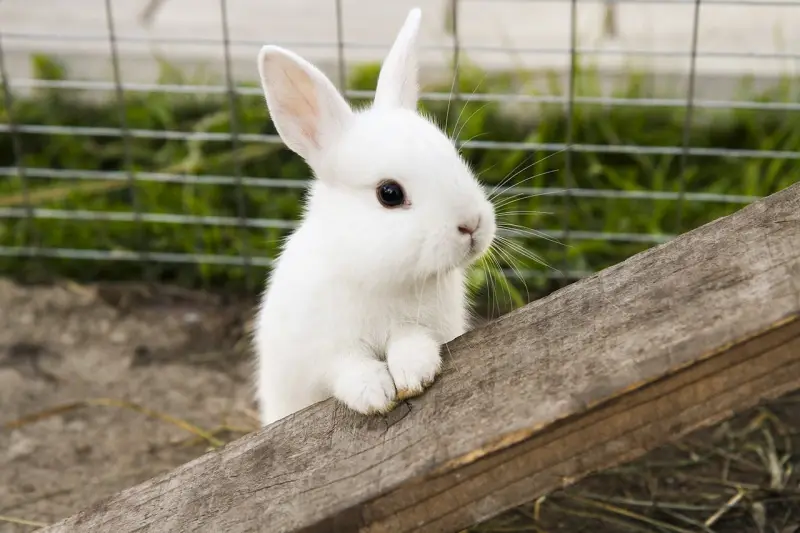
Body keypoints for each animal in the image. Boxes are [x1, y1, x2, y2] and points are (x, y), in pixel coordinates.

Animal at [255, 7, 494, 424]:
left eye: (453, 154)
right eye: (389, 193)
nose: (472, 225)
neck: (381, 278)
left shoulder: (424, 325)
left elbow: (412, 341)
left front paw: (414, 373)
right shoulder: (323, 351)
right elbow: (347, 367)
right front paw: (375, 394)